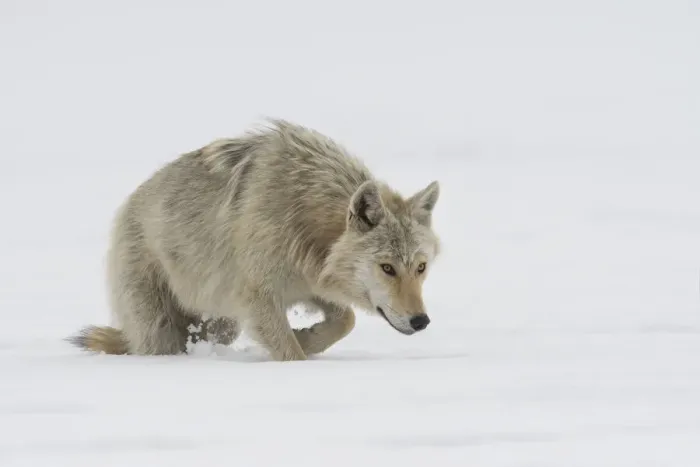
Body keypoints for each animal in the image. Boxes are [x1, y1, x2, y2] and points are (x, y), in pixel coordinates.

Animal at [68, 119, 442, 361]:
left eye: (421, 267)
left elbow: (345, 320)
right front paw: (300, 353)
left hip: (223, 323)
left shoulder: (310, 285)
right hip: (161, 326)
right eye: (387, 268)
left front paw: (308, 339)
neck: (303, 211)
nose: (421, 321)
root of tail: (127, 205)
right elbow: (290, 355)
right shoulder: (260, 298)